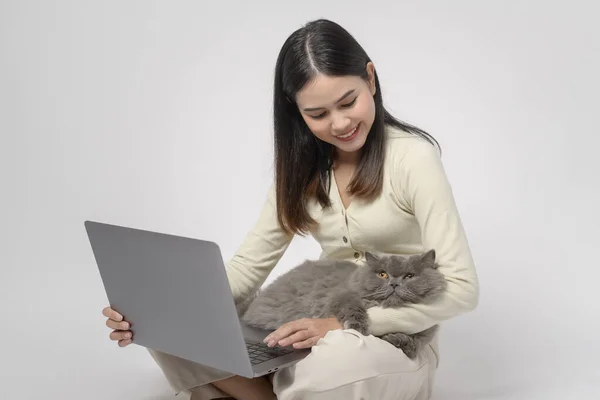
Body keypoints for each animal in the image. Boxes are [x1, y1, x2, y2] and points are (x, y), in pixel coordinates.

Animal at [237, 248, 448, 358]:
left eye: (409, 276)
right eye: (382, 274)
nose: (394, 284)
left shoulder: (425, 330)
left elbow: (414, 344)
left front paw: (398, 340)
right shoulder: (340, 296)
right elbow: (352, 307)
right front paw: (359, 327)